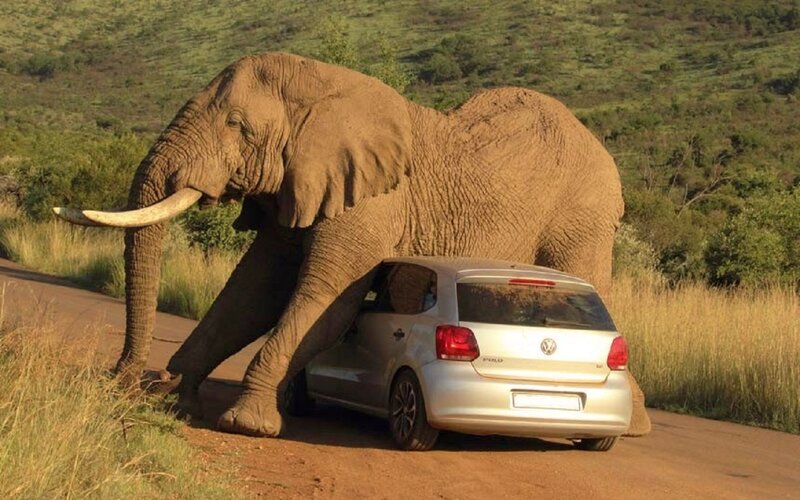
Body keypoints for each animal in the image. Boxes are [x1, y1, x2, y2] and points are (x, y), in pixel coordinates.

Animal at [55, 52, 651, 438]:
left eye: (237, 125)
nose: (123, 380)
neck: (325, 87)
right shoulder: (299, 185)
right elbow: (252, 294)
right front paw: (176, 395)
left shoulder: (372, 201)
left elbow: (325, 298)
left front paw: (246, 423)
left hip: (583, 214)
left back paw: (635, 425)